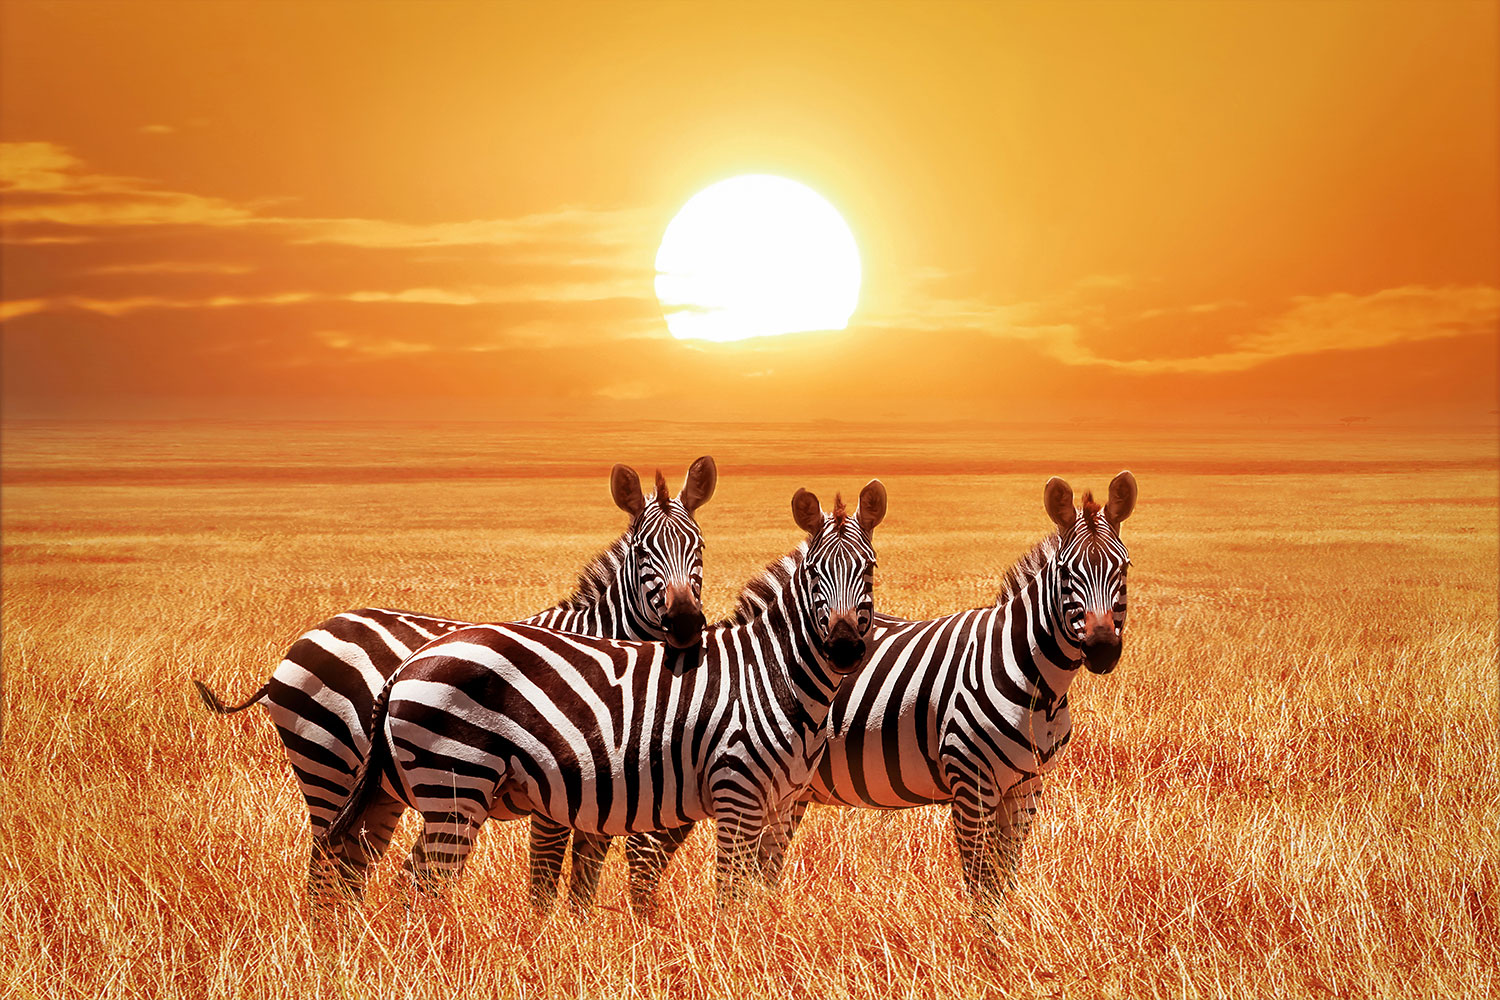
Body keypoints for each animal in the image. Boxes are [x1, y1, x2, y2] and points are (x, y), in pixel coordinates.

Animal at [192, 457, 717, 898]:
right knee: (324, 867)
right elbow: (547, 877)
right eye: (643, 552)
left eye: (700, 548)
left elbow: (585, 875)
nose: (686, 624)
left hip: (376, 789)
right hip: (327, 765)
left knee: (349, 869)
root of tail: (311, 634)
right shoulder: (560, 784)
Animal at [325, 480, 888, 910]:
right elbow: (730, 892)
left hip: (421, 789)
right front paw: (730, 951)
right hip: (454, 782)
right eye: (814, 574)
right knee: (423, 879)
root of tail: (408, 663)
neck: (771, 673)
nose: (844, 649)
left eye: (870, 568)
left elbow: (758, 891)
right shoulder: (737, 793)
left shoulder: (779, 802)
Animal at [750, 471, 1137, 917]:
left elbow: (1004, 876)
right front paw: (984, 937)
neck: (1038, 684)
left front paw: (1006, 932)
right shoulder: (971, 783)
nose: (1102, 649)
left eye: (1124, 567)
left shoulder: (1026, 786)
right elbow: (982, 882)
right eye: (1065, 572)